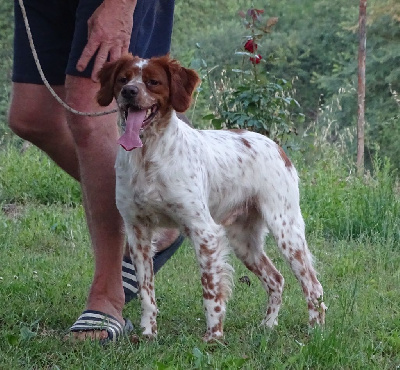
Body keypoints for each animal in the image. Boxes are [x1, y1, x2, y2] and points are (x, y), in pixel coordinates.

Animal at [96, 54, 324, 342]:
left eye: (153, 82)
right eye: (123, 79)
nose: (129, 92)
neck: (148, 155)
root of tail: (276, 147)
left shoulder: (203, 230)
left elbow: (211, 290)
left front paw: (213, 337)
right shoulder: (138, 232)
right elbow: (147, 291)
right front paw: (148, 333)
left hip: (286, 230)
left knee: (313, 286)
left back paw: (316, 331)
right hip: (244, 241)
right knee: (276, 279)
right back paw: (268, 325)